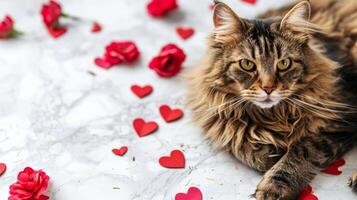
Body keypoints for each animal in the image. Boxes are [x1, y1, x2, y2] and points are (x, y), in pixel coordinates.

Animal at [185, 0, 356, 199]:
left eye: (283, 63)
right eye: (247, 64)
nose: (268, 89)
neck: (272, 116)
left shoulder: (342, 117)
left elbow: (300, 151)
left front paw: (273, 186)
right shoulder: (220, 118)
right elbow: (240, 143)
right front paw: (272, 155)